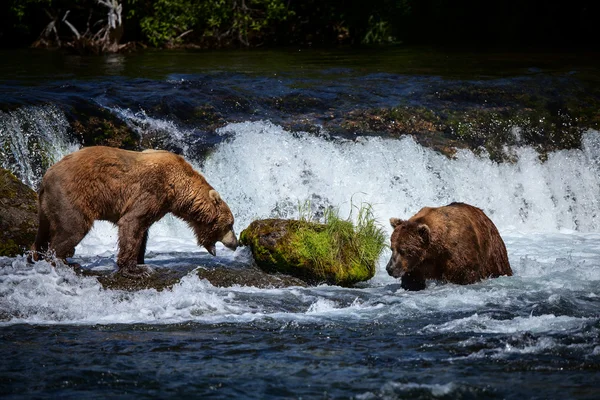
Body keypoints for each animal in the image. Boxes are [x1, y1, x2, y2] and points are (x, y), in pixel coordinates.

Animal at [31, 145, 237, 280]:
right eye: (230, 224)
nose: (235, 243)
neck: (177, 190)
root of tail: (46, 176)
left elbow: (142, 230)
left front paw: (140, 261)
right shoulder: (151, 190)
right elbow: (132, 223)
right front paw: (135, 269)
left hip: (46, 208)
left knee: (43, 233)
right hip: (72, 196)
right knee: (73, 228)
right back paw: (64, 262)